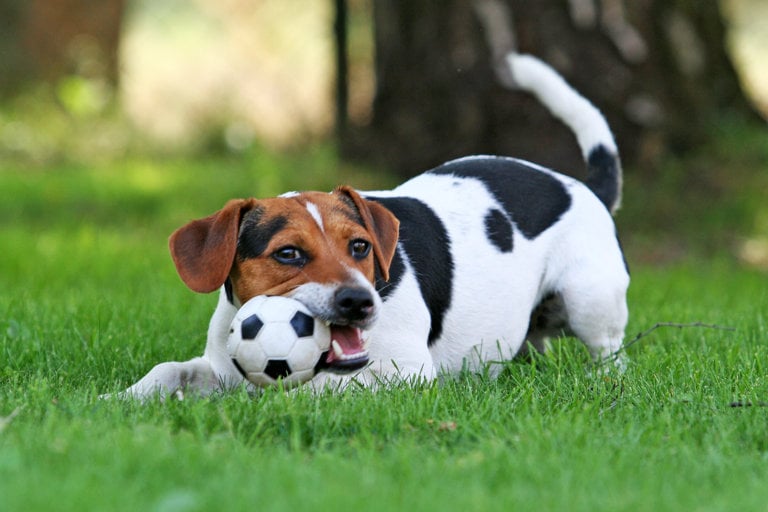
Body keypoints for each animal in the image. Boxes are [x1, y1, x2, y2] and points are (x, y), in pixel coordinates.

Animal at [115, 54, 632, 400]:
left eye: (361, 247)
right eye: (288, 253)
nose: (359, 302)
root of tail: (583, 186)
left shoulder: (405, 373)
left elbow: (318, 390)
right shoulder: (217, 369)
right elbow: (168, 371)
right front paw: (116, 401)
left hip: (590, 301)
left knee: (612, 355)